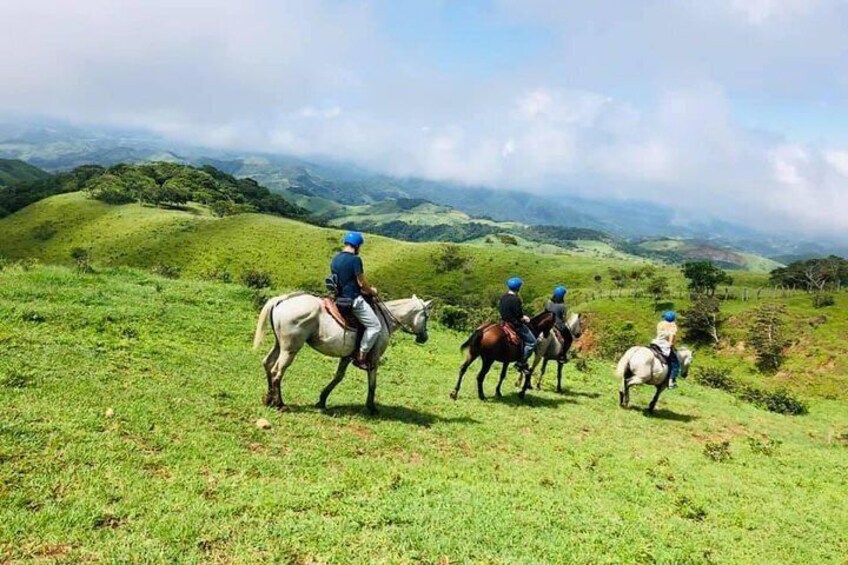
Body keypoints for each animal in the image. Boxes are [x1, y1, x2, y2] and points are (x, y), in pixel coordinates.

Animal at [253, 294, 434, 412]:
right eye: (426, 316)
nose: (424, 337)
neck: (385, 320)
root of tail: (282, 300)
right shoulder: (374, 357)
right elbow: (372, 382)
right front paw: (371, 407)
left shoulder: (347, 357)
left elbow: (338, 377)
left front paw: (322, 400)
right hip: (290, 349)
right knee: (277, 371)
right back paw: (280, 404)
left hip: (279, 345)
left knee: (268, 363)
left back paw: (269, 399)